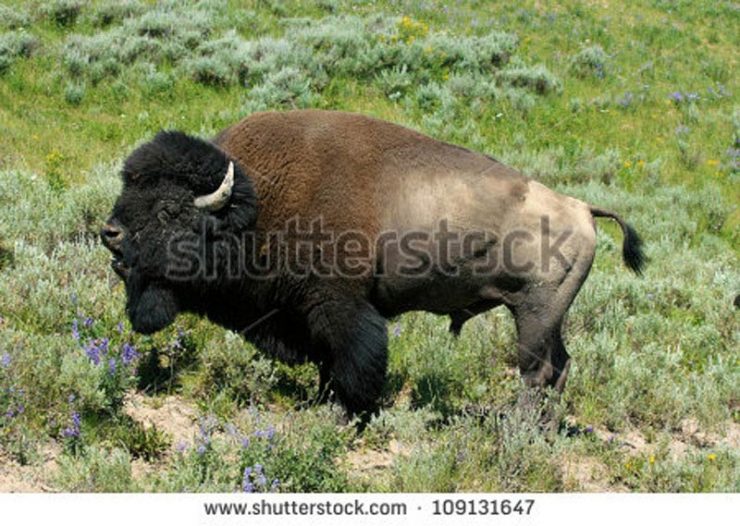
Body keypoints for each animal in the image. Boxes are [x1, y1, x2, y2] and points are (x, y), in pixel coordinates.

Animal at [101, 110, 644, 416]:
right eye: (128, 189)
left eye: (169, 209)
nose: (111, 234)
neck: (253, 204)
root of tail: (581, 207)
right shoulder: (308, 316)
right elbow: (328, 365)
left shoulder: (340, 308)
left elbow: (353, 364)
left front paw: (347, 415)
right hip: (549, 316)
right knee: (561, 367)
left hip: (532, 315)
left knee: (536, 372)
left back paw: (516, 430)